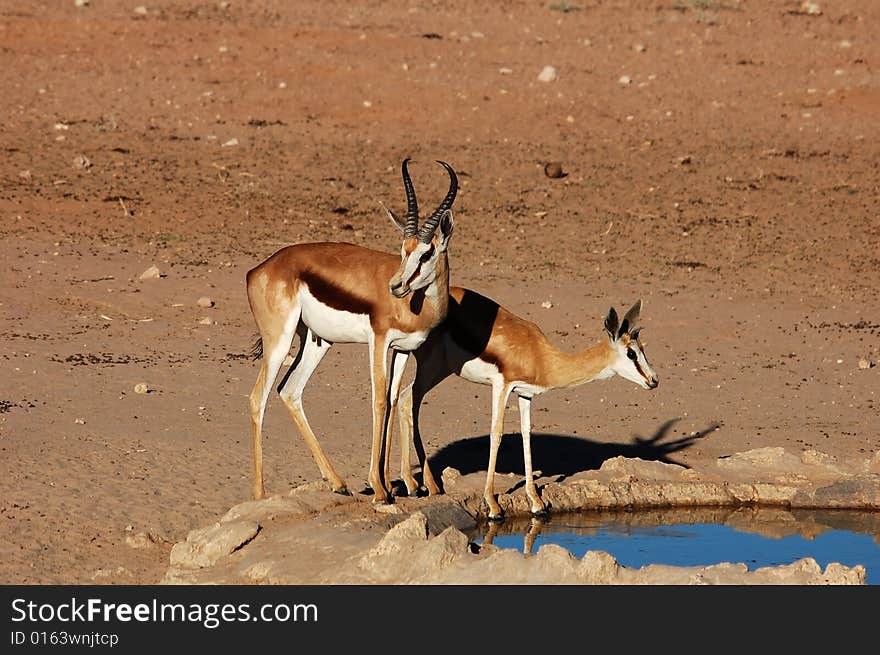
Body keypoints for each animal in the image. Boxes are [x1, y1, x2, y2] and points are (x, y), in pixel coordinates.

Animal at [244, 159, 458, 502]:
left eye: (427, 253)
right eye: (403, 249)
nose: (396, 286)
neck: (417, 305)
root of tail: (259, 269)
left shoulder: (403, 349)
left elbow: (393, 398)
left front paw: (402, 485)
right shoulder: (379, 342)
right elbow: (379, 400)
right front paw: (380, 489)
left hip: (317, 342)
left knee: (290, 390)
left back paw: (338, 482)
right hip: (280, 342)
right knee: (257, 398)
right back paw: (261, 495)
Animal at [396, 292, 656, 524]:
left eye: (643, 349)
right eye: (631, 353)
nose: (654, 380)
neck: (540, 356)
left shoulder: (525, 394)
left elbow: (526, 434)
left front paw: (536, 503)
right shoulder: (501, 386)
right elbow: (497, 434)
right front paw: (493, 505)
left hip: (440, 369)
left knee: (406, 399)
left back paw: (420, 485)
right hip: (432, 366)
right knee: (408, 399)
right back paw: (418, 484)